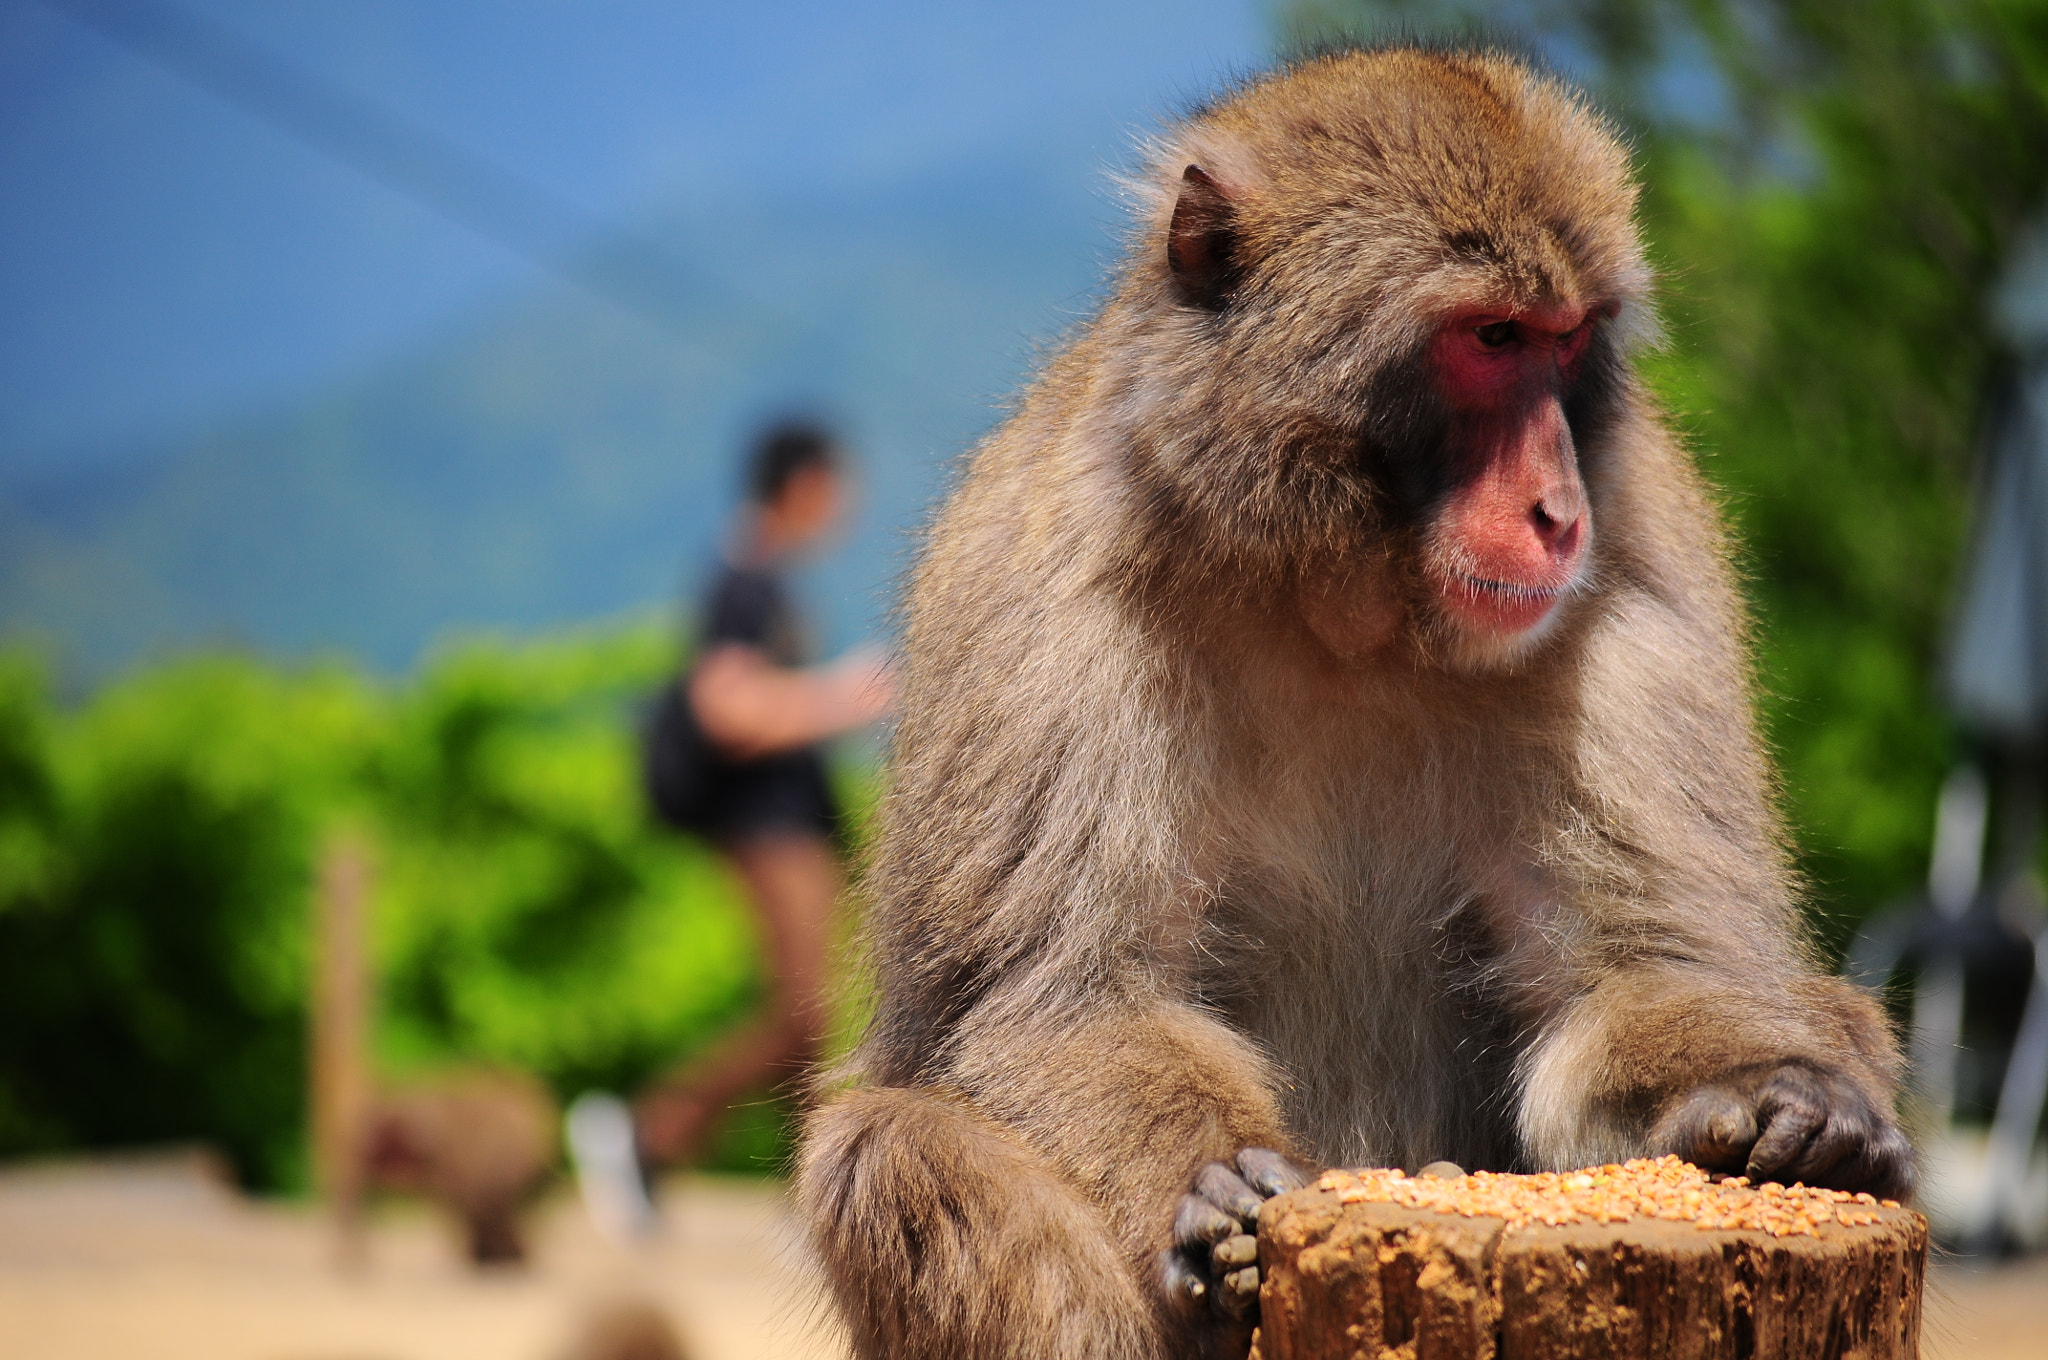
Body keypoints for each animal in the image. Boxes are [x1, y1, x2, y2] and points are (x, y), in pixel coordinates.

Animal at [795, 47, 1914, 1360]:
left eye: (1568, 341)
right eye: (1491, 336)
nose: (1557, 510)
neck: (1348, 602)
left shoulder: (1641, 587)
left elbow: (1629, 970)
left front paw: (1766, 1102)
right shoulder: (1040, 597)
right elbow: (1063, 998)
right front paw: (1214, 1189)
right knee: (894, 1148)